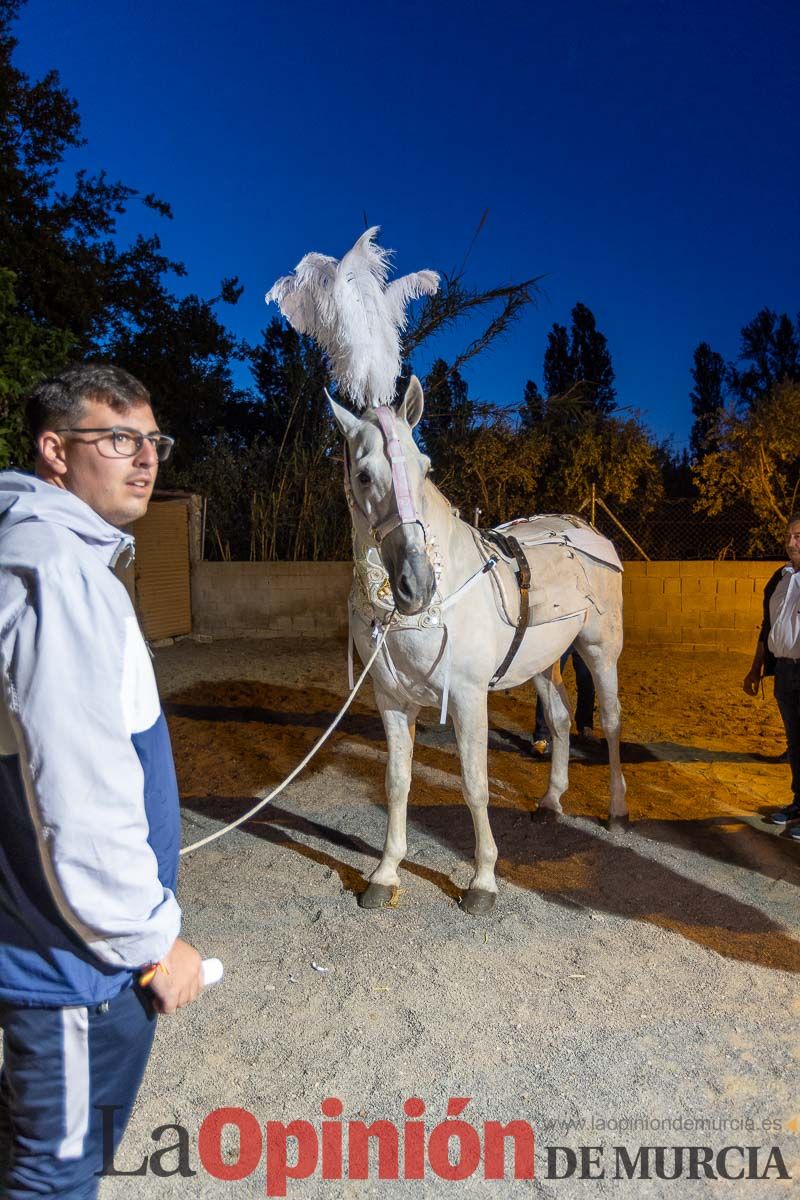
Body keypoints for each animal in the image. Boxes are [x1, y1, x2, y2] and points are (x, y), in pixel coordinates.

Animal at [328, 374, 628, 907]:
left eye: (425, 468)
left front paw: (483, 879)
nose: (416, 584)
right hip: (541, 662)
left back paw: (616, 809)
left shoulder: (468, 698)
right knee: (560, 719)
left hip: (599, 651)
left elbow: (474, 784)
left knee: (611, 721)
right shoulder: (391, 699)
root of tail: (588, 531)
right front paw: (385, 872)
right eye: (363, 476)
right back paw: (551, 800)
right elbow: (397, 783)